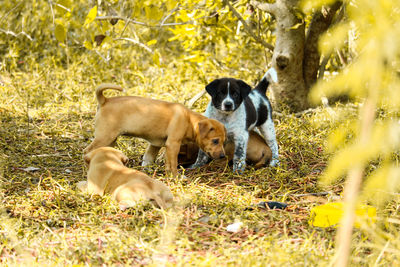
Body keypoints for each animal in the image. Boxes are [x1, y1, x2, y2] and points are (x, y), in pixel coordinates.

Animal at [83, 84, 228, 178]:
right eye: (215, 141)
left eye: (223, 142)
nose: (223, 156)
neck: (189, 120)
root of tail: (104, 101)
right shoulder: (173, 145)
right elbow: (172, 163)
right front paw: (176, 177)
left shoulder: (155, 144)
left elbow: (148, 159)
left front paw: (148, 171)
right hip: (104, 136)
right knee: (87, 151)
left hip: (111, 139)